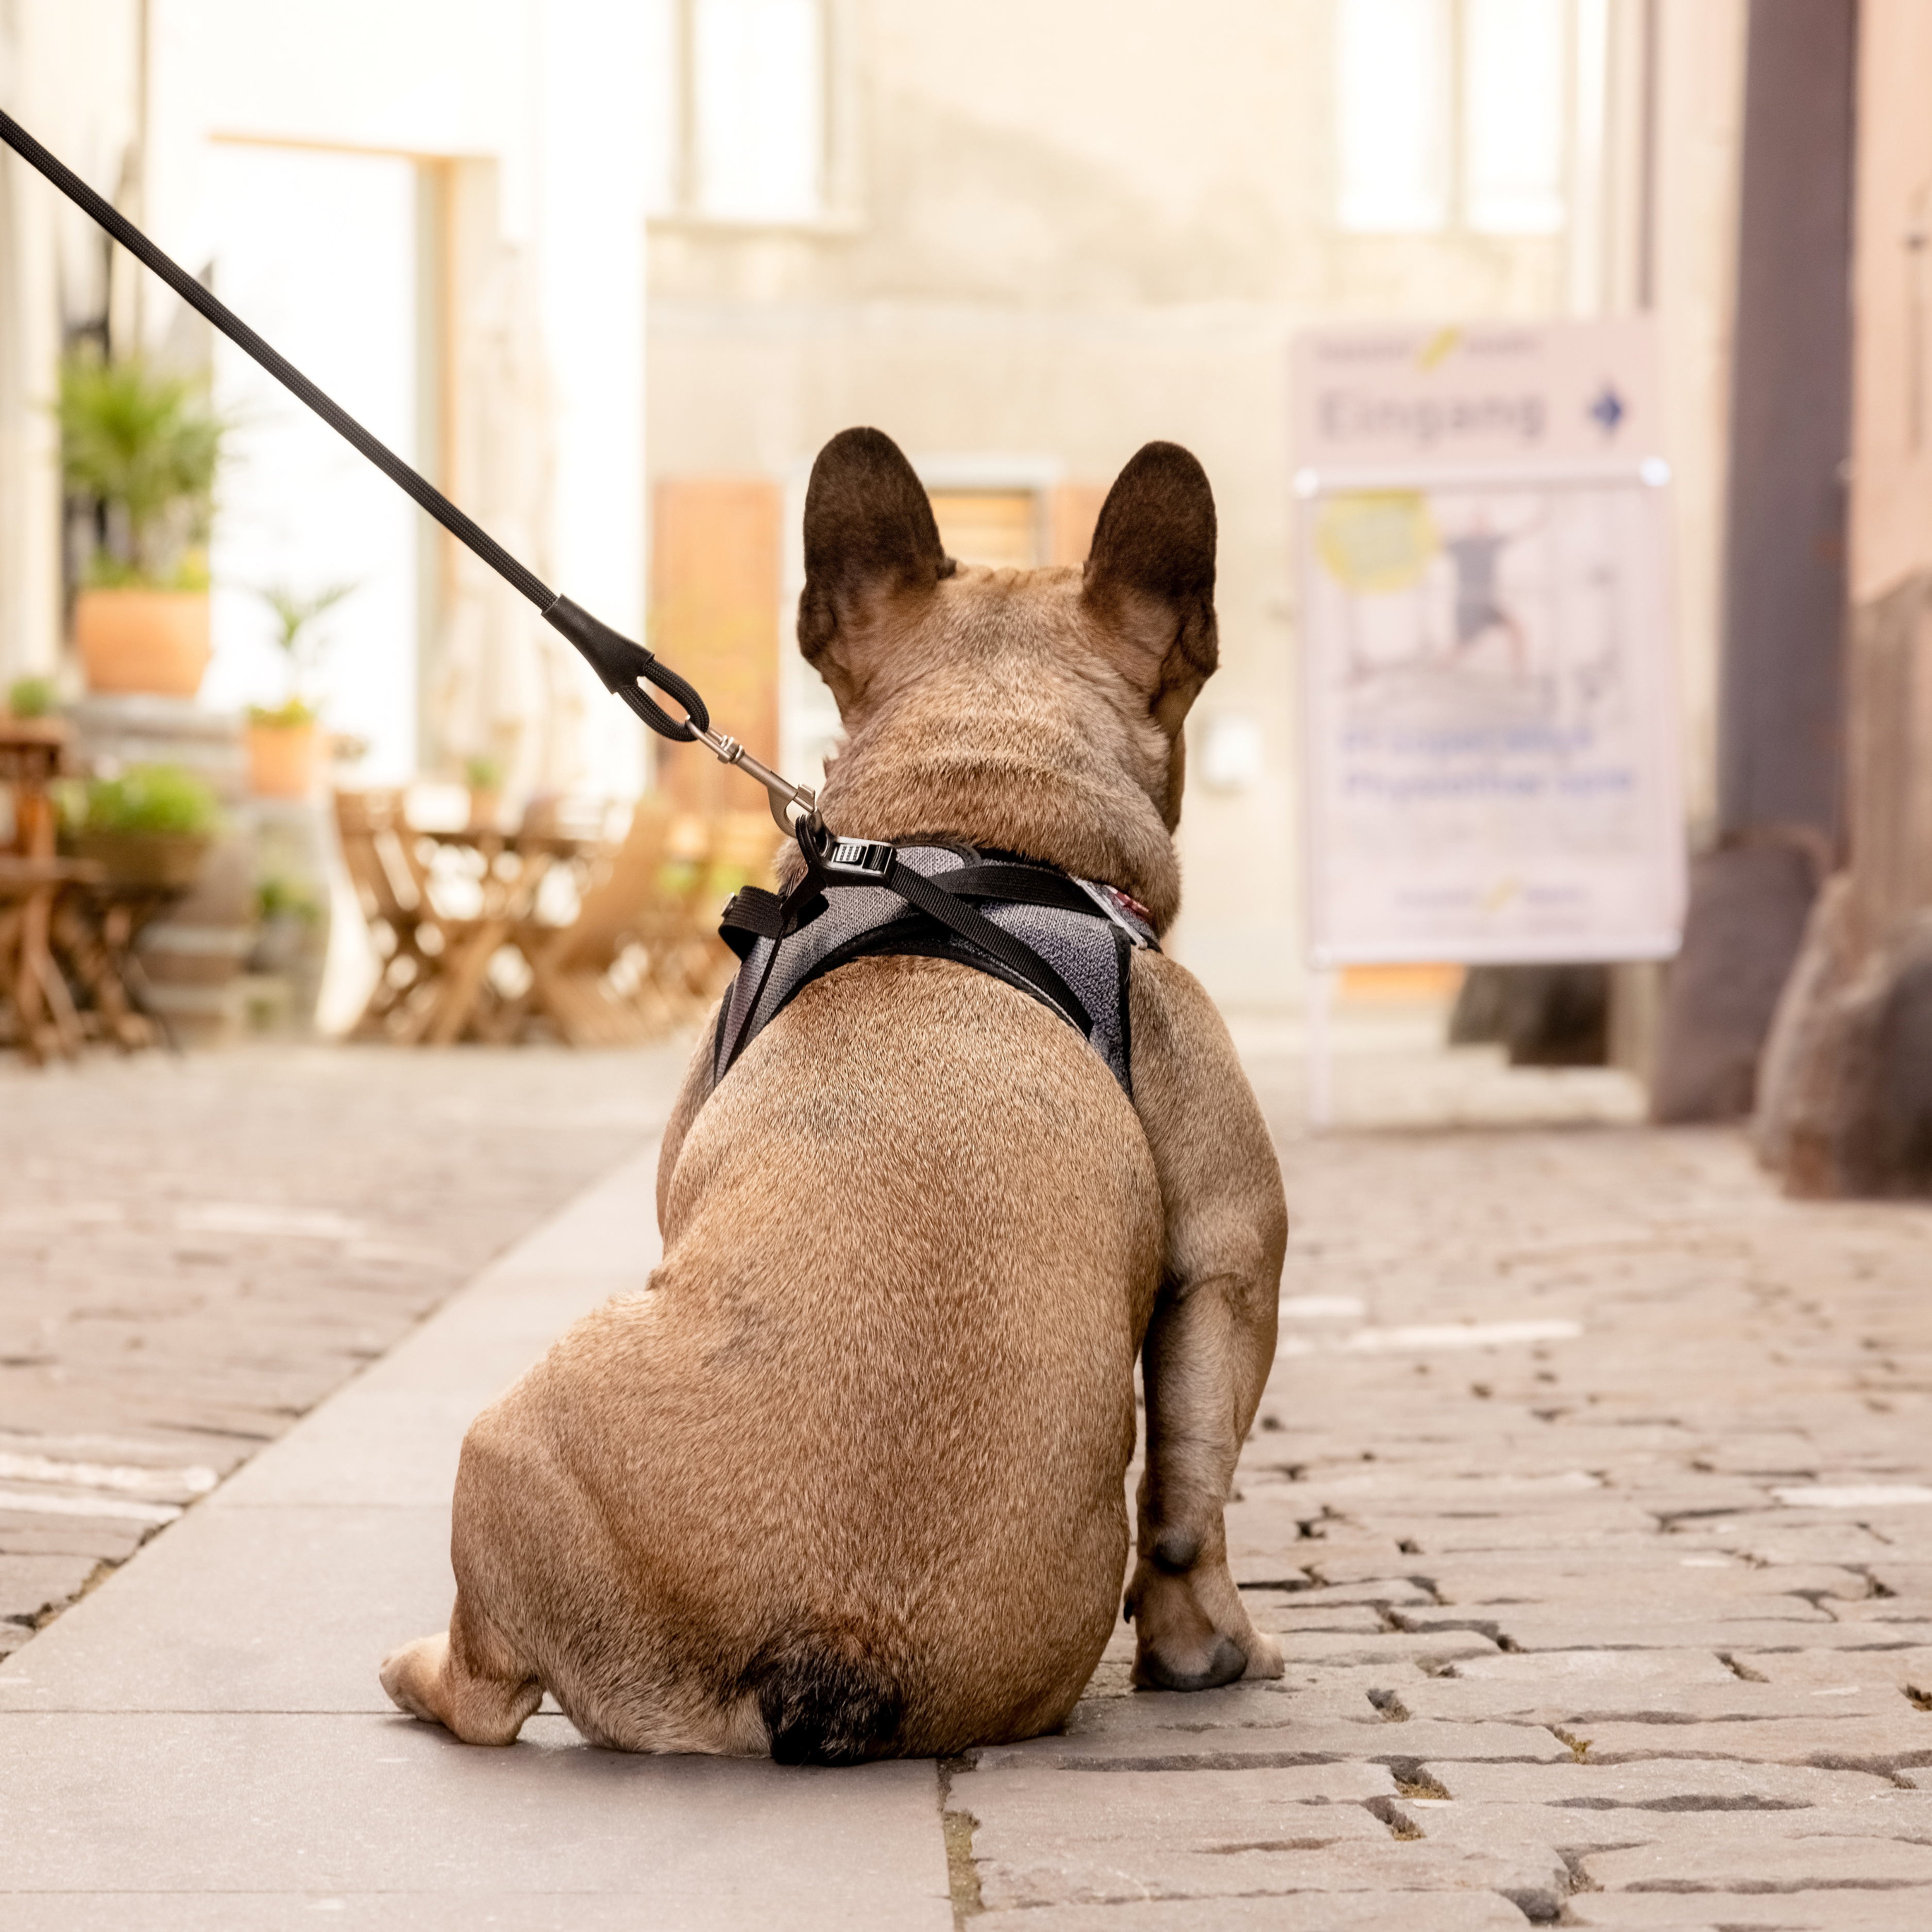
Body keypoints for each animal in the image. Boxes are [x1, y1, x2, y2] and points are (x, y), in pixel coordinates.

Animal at [377, 431, 1283, 1762]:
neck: (971, 825)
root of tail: (831, 1646)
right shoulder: (1227, 1254)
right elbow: (1189, 1483)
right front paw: (1205, 1648)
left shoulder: (1230, 1248)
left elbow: (1192, 1468)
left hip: (499, 1442)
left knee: (488, 1697)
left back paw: (415, 1674)